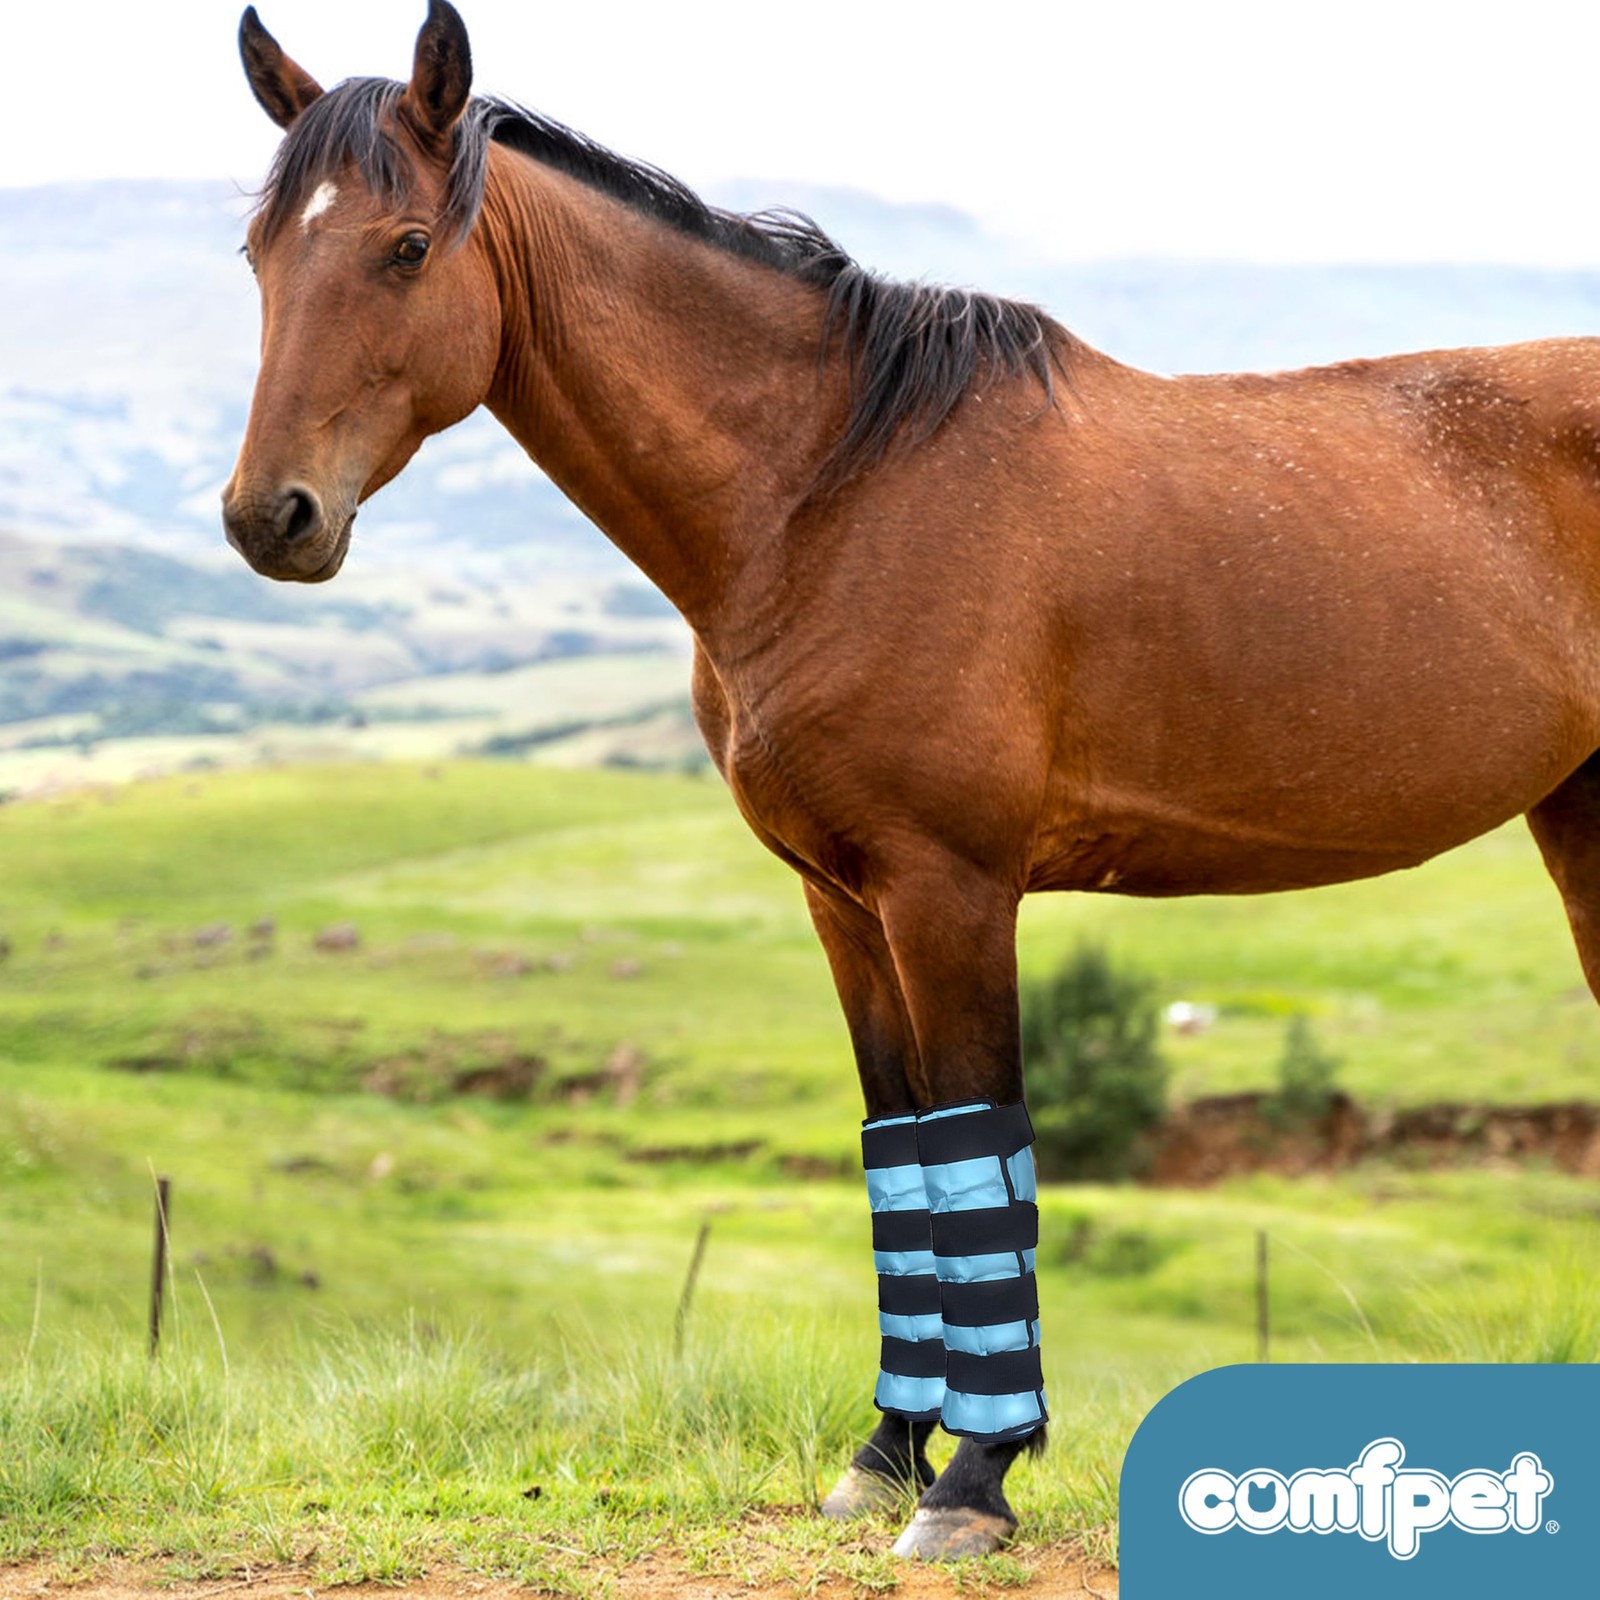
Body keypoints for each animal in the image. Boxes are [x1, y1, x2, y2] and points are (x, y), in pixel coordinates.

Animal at [224, 0, 1600, 1561]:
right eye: (259, 253)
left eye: (406, 246)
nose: (271, 517)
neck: (830, 491)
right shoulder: (843, 900)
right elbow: (906, 1155)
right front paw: (885, 1454)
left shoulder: (952, 890)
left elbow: (980, 1144)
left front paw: (974, 1479)